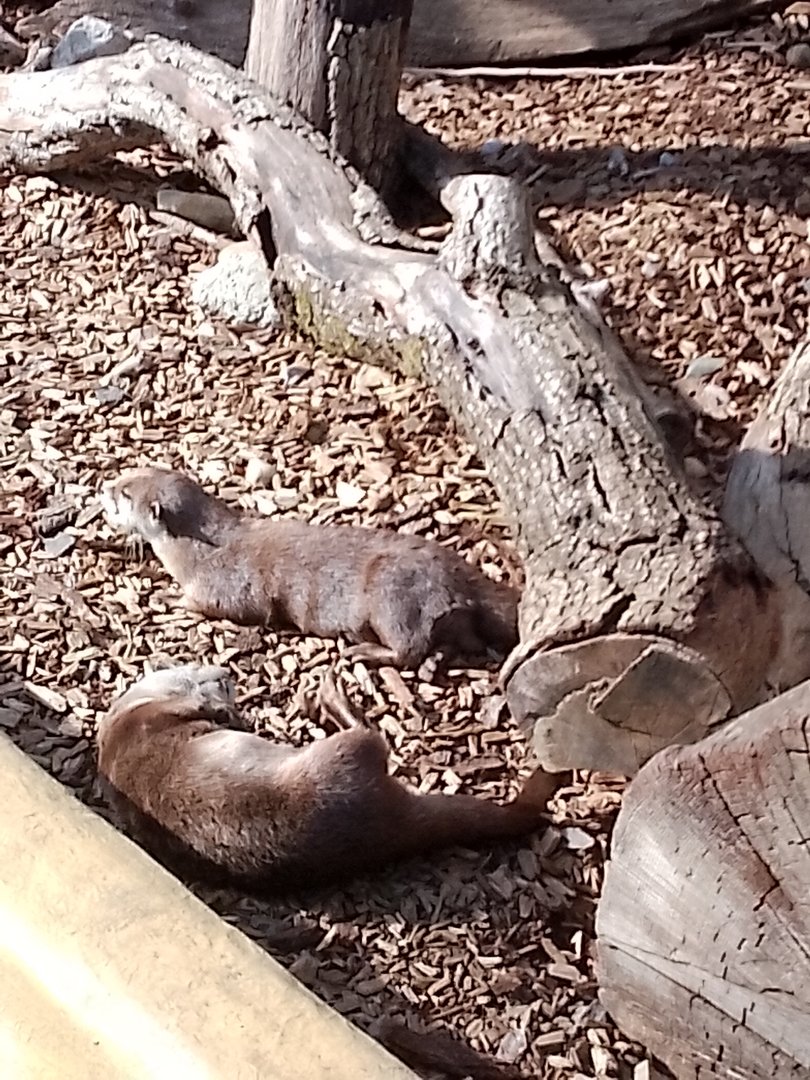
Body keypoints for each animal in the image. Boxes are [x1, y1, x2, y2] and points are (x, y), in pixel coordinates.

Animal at [97, 664, 551, 891]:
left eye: (188, 664)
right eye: (194, 675)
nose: (225, 674)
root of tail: (384, 830)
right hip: (345, 757)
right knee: (369, 735)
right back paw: (333, 695)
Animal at [99, 467, 518, 669]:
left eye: (125, 495)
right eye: (129, 474)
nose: (105, 486)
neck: (199, 551)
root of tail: (459, 573)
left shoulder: (223, 584)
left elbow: (216, 605)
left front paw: (170, 598)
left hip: (393, 595)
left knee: (409, 647)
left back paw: (364, 652)